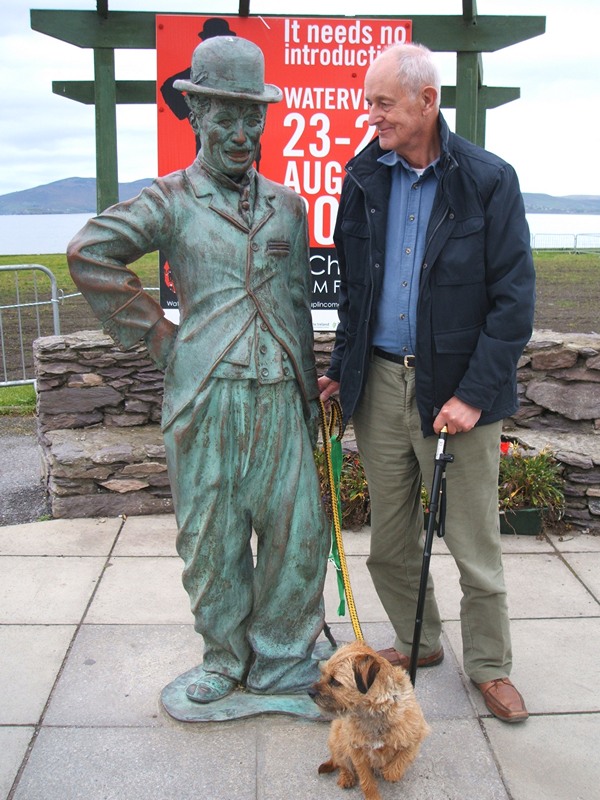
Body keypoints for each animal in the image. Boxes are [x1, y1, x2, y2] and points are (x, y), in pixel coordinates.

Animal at [308, 644, 428, 800]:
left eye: (335, 681)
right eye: (322, 673)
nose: (309, 691)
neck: (375, 712)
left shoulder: (415, 736)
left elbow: (399, 763)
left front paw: (390, 772)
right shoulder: (357, 751)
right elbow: (366, 780)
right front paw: (372, 795)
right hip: (337, 738)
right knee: (342, 764)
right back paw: (346, 777)